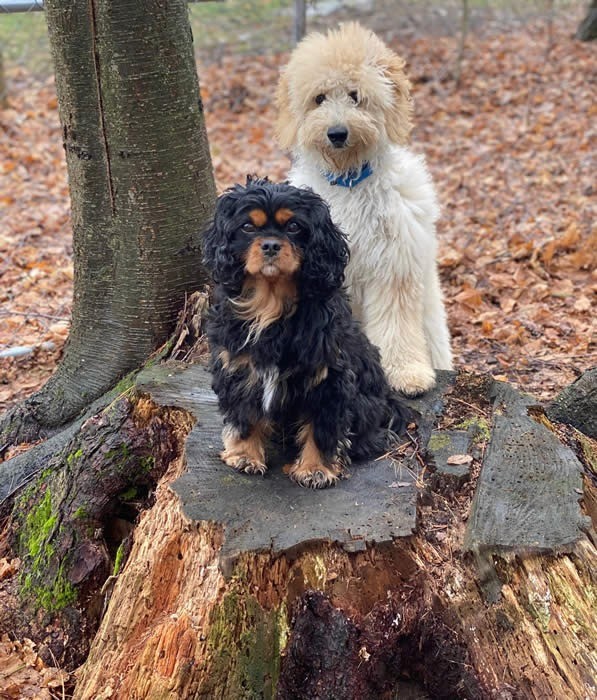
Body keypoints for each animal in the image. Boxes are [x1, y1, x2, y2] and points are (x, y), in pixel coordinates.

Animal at [203, 178, 407, 488]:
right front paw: (245, 456)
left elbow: (322, 426)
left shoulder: (328, 378)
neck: (271, 304)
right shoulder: (238, 369)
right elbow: (244, 415)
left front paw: (315, 468)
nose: (271, 245)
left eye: (293, 227)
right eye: (247, 227)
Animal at [275, 22, 453, 396]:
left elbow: (396, 324)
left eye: (355, 96)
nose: (337, 133)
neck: (350, 182)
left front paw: (405, 372)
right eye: (319, 98)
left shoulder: (394, 266)